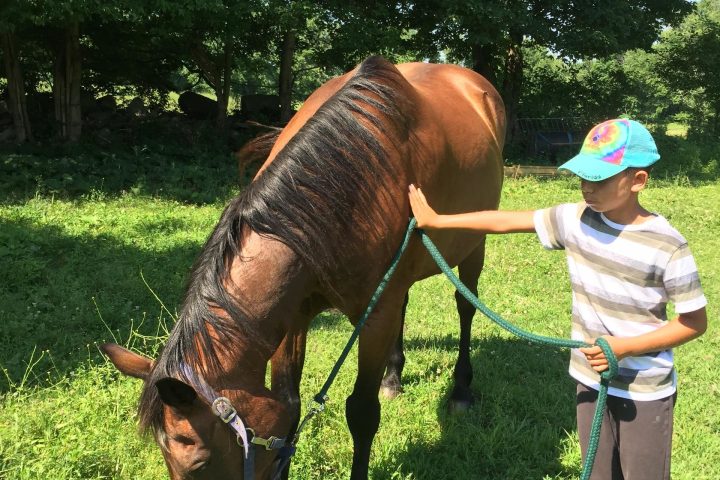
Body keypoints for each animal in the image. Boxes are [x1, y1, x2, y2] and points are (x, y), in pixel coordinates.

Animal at [102, 55, 505, 479]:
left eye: (199, 464)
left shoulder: (375, 318)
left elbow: (362, 412)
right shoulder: (294, 317)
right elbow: (289, 405)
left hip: (474, 245)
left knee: (466, 307)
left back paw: (461, 390)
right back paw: (393, 378)